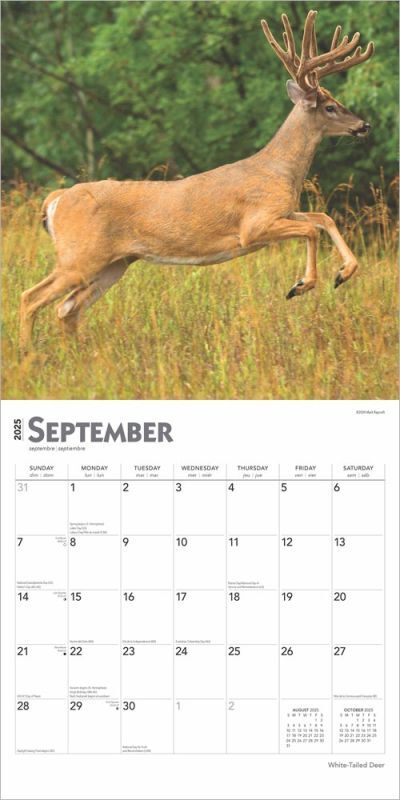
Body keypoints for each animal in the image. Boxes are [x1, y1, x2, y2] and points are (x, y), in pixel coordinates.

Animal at [20, 10, 374, 354]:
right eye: (330, 106)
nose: (364, 126)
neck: (279, 171)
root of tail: (56, 199)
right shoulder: (254, 226)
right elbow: (311, 230)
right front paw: (301, 285)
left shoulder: (283, 211)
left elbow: (322, 218)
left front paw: (343, 274)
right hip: (78, 257)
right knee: (31, 298)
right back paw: (26, 353)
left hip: (113, 264)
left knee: (67, 309)